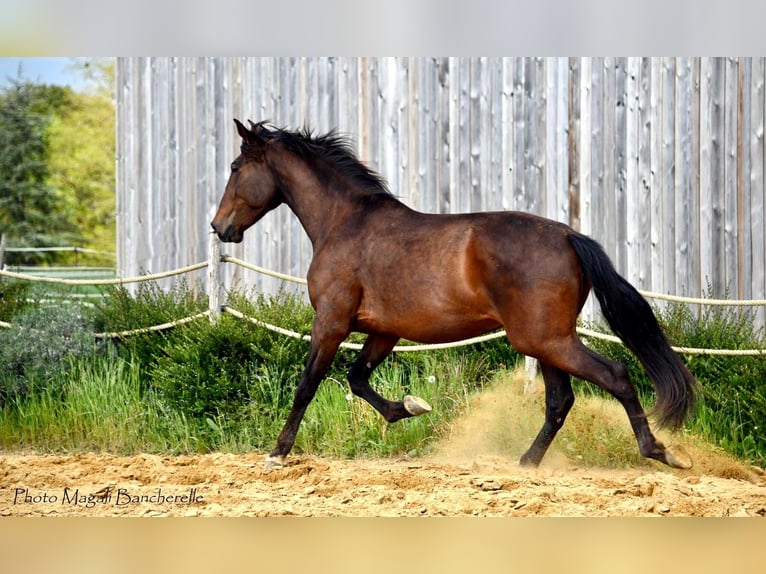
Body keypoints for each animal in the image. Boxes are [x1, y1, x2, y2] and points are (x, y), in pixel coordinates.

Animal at [212, 118, 704, 472]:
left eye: (235, 169)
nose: (219, 227)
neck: (344, 222)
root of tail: (569, 236)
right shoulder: (383, 331)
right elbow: (357, 379)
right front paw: (410, 407)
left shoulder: (331, 322)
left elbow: (307, 384)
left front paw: (277, 453)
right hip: (545, 341)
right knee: (560, 400)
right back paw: (526, 464)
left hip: (545, 340)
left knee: (615, 376)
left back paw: (662, 452)